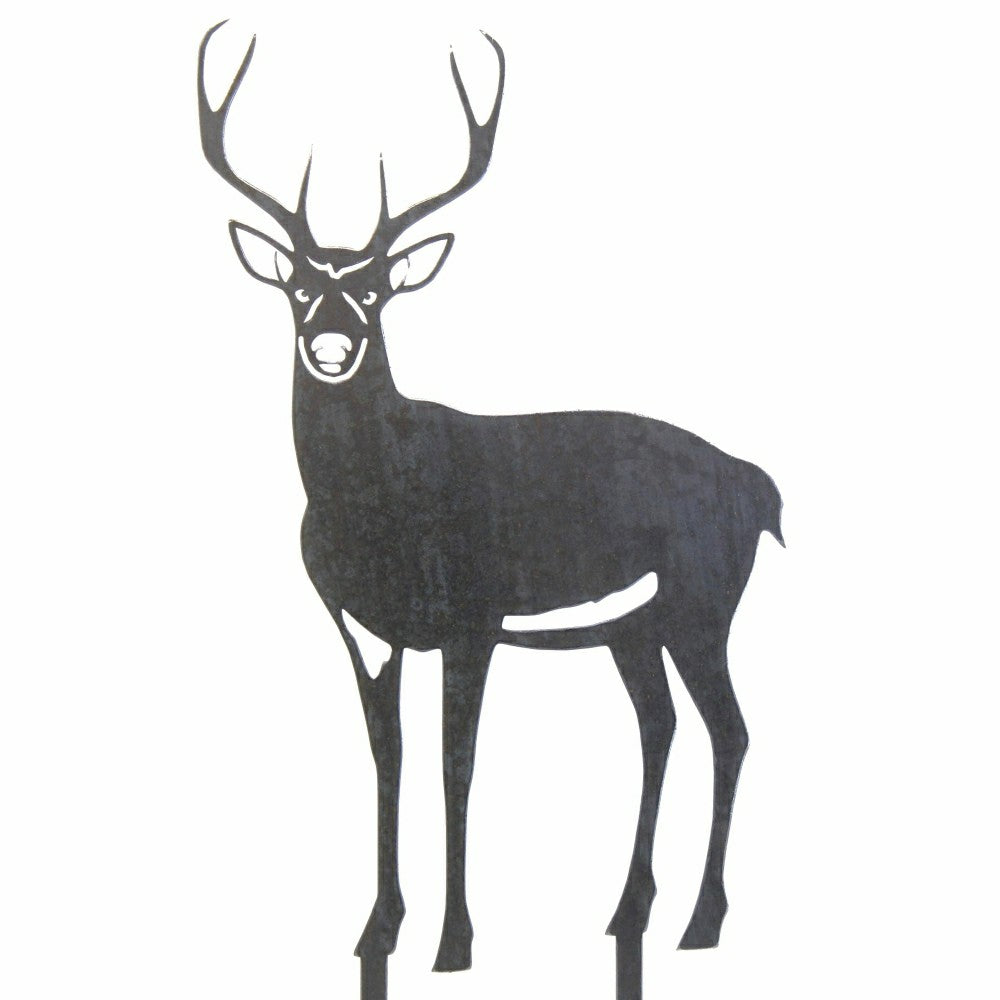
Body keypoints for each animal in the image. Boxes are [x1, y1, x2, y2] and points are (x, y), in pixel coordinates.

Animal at [198, 21, 783, 1000]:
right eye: (298, 288)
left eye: (374, 289)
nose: (330, 345)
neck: (378, 510)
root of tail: (756, 483)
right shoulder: (365, 631)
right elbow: (388, 758)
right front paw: (375, 931)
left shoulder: (470, 620)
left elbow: (455, 765)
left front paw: (455, 944)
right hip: (635, 626)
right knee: (659, 725)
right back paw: (626, 912)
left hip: (704, 606)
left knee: (731, 730)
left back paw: (701, 925)